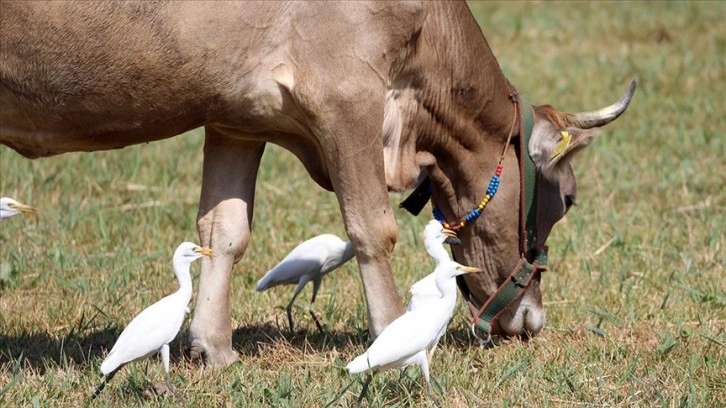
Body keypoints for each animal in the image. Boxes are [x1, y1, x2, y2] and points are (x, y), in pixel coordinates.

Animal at [0, 0, 636, 366]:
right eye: (568, 198)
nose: (532, 320)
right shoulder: (347, 93)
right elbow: (373, 229)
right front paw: (391, 335)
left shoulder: (234, 116)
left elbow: (224, 228)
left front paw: (215, 348)